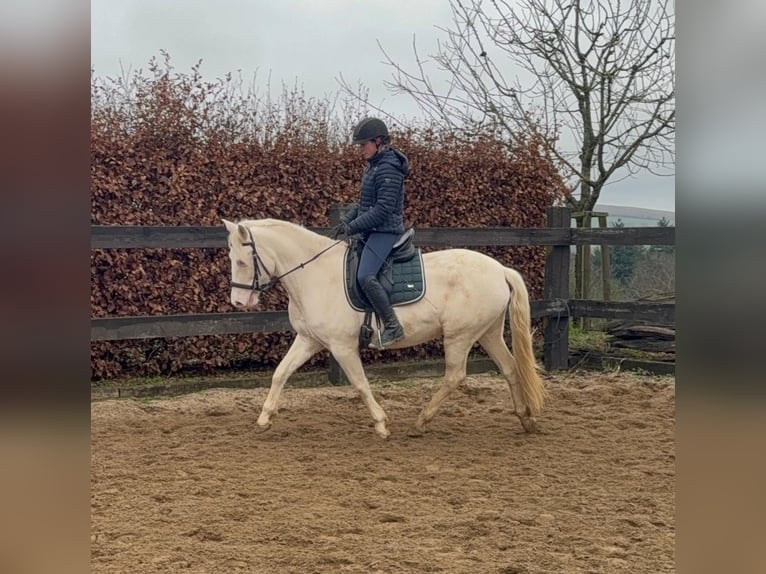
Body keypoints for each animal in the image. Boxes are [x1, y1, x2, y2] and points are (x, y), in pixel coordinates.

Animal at [222, 218, 546, 439]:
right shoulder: (308, 340)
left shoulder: (341, 346)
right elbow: (281, 373)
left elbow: (360, 383)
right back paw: (526, 419)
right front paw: (264, 418)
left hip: (460, 336)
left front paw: (380, 424)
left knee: (455, 376)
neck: (315, 274)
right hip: (488, 333)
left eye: (242, 261)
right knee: (509, 368)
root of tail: (500, 269)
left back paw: (421, 422)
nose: (238, 301)